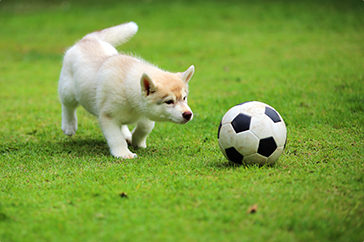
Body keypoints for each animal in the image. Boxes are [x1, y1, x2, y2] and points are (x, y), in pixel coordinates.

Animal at [58, 22, 195, 159]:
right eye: (169, 101)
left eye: (184, 98)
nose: (188, 114)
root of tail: (88, 39)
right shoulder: (108, 116)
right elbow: (116, 137)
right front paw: (123, 153)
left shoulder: (145, 111)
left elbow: (146, 126)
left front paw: (137, 141)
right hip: (68, 90)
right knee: (68, 106)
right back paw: (69, 125)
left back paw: (127, 134)